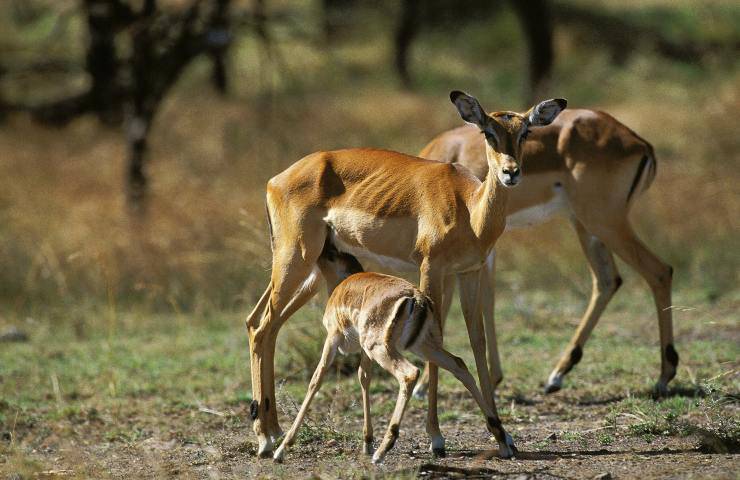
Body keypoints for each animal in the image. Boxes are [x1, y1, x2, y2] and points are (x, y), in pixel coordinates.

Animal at [274, 246, 516, 464]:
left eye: (331, 252)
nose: (319, 251)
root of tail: (416, 298)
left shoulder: (332, 339)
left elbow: (316, 380)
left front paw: (282, 448)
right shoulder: (364, 351)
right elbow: (364, 378)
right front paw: (367, 442)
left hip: (383, 348)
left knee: (410, 373)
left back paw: (384, 449)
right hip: (421, 346)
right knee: (459, 365)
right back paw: (502, 439)